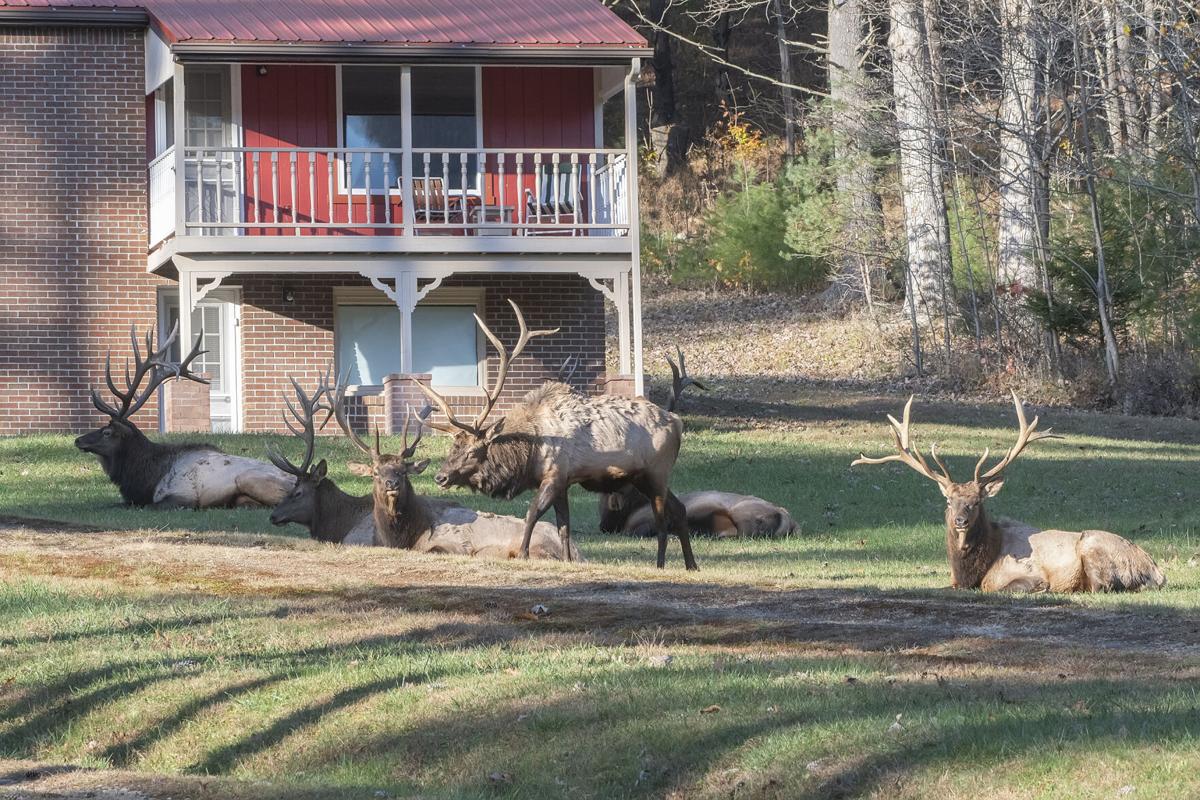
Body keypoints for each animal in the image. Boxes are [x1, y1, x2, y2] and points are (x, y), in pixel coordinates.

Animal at [331, 379, 578, 561]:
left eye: (403, 471)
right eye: (375, 472)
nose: (392, 483)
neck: (404, 536)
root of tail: (578, 552)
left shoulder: (454, 544)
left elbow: (437, 549)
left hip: (537, 548)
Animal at [415, 298, 700, 568]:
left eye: (473, 451)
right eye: (453, 447)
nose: (440, 476)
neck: (528, 453)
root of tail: (677, 422)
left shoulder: (554, 474)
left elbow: (532, 513)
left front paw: (523, 554)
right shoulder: (564, 482)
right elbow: (564, 526)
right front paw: (566, 560)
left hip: (657, 472)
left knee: (662, 521)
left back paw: (661, 565)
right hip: (643, 477)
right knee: (680, 508)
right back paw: (691, 564)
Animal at [854, 393, 1161, 594]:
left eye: (976, 501)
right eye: (949, 500)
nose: (960, 521)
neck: (973, 570)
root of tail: (1157, 572)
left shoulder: (1025, 573)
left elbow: (1006, 588)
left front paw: (1044, 590)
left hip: (1092, 545)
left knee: (1101, 586)